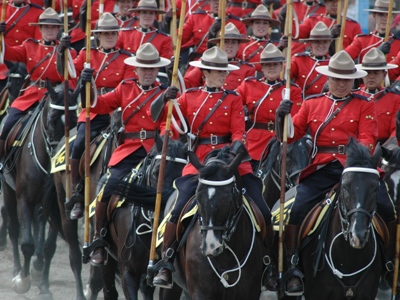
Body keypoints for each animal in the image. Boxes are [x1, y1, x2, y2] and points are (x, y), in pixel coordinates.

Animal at [1, 82, 79, 298]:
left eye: (75, 121)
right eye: (52, 120)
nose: (61, 154)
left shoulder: (56, 204)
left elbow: (48, 246)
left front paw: (43, 284)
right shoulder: (24, 200)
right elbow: (26, 243)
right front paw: (23, 280)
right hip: (9, 191)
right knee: (13, 229)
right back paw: (17, 270)